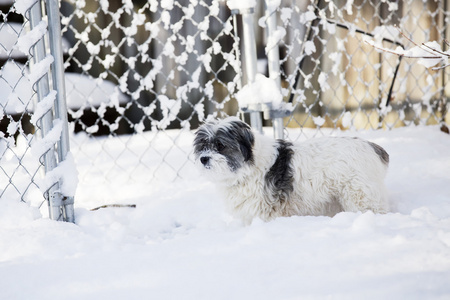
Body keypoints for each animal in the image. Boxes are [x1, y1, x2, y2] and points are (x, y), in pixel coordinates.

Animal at [193, 116, 390, 223]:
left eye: (220, 145)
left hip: (360, 196)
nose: (203, 159)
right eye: (202, 146)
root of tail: (373, 147)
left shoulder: (266, 211)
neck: (249, 166)